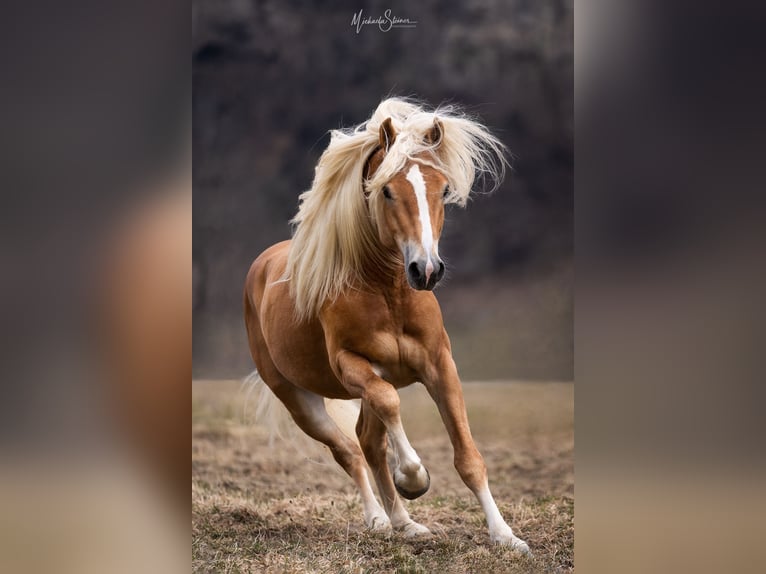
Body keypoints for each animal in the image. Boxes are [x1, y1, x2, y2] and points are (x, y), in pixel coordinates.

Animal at [243, 98, 532, 552]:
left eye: (442, 190)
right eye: (386, 190)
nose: (426, 270)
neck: (389, 294)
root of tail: (263, 263)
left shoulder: (439, 364)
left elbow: (469, 458)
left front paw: (506, 536)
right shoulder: (353, 365)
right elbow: (390, 405)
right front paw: (414, 478)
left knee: (368, 440)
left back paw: (405, 524)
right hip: (299, 399)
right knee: (350, 450)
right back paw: (380, 518)